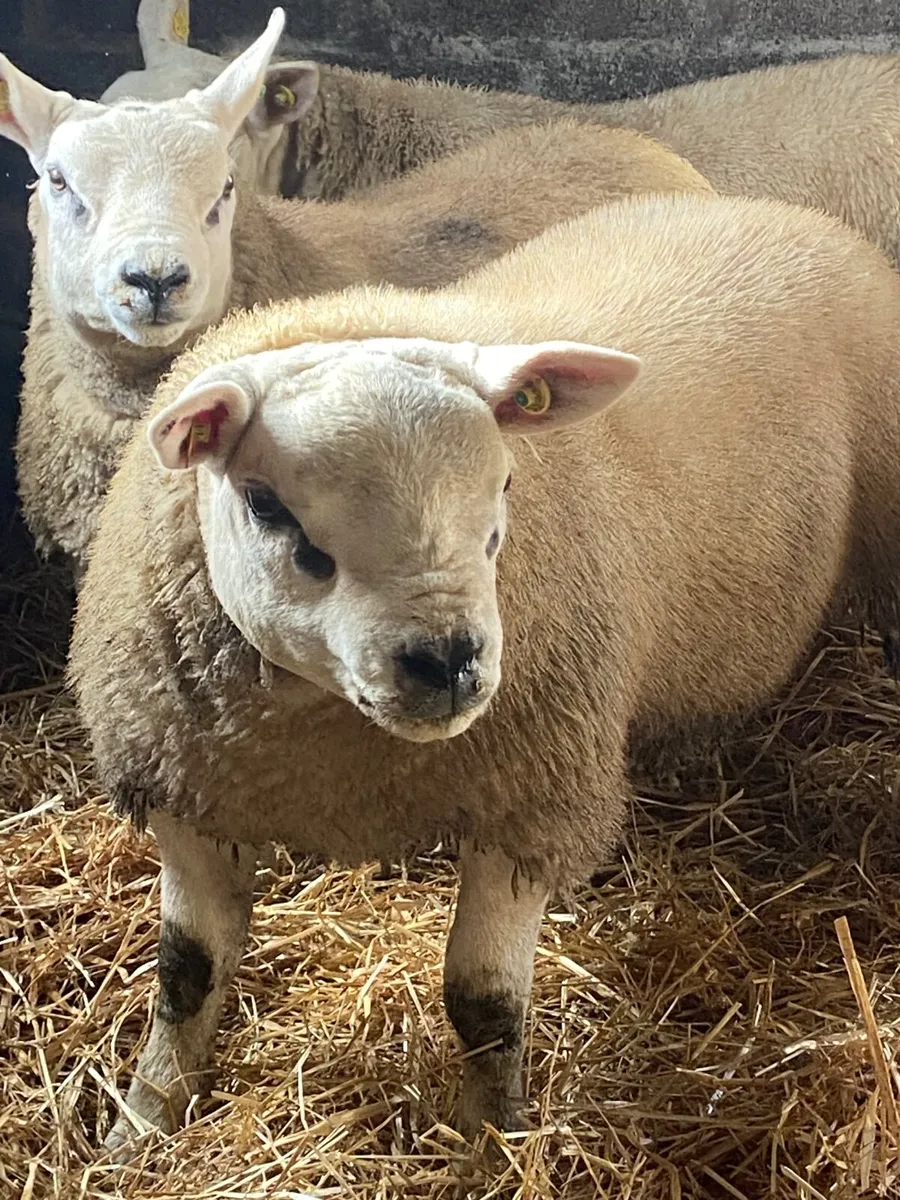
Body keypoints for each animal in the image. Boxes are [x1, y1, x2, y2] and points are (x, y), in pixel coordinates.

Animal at [70, 190, 900, 1157]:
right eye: (268, 506)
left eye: (504, 485)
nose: (448, 660)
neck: (329, 754)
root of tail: (770, 207)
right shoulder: (184, 792)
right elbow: (185, 975)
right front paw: (142, 1123)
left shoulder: (527, 799)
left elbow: (483, 1001)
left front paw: (489, 1143)